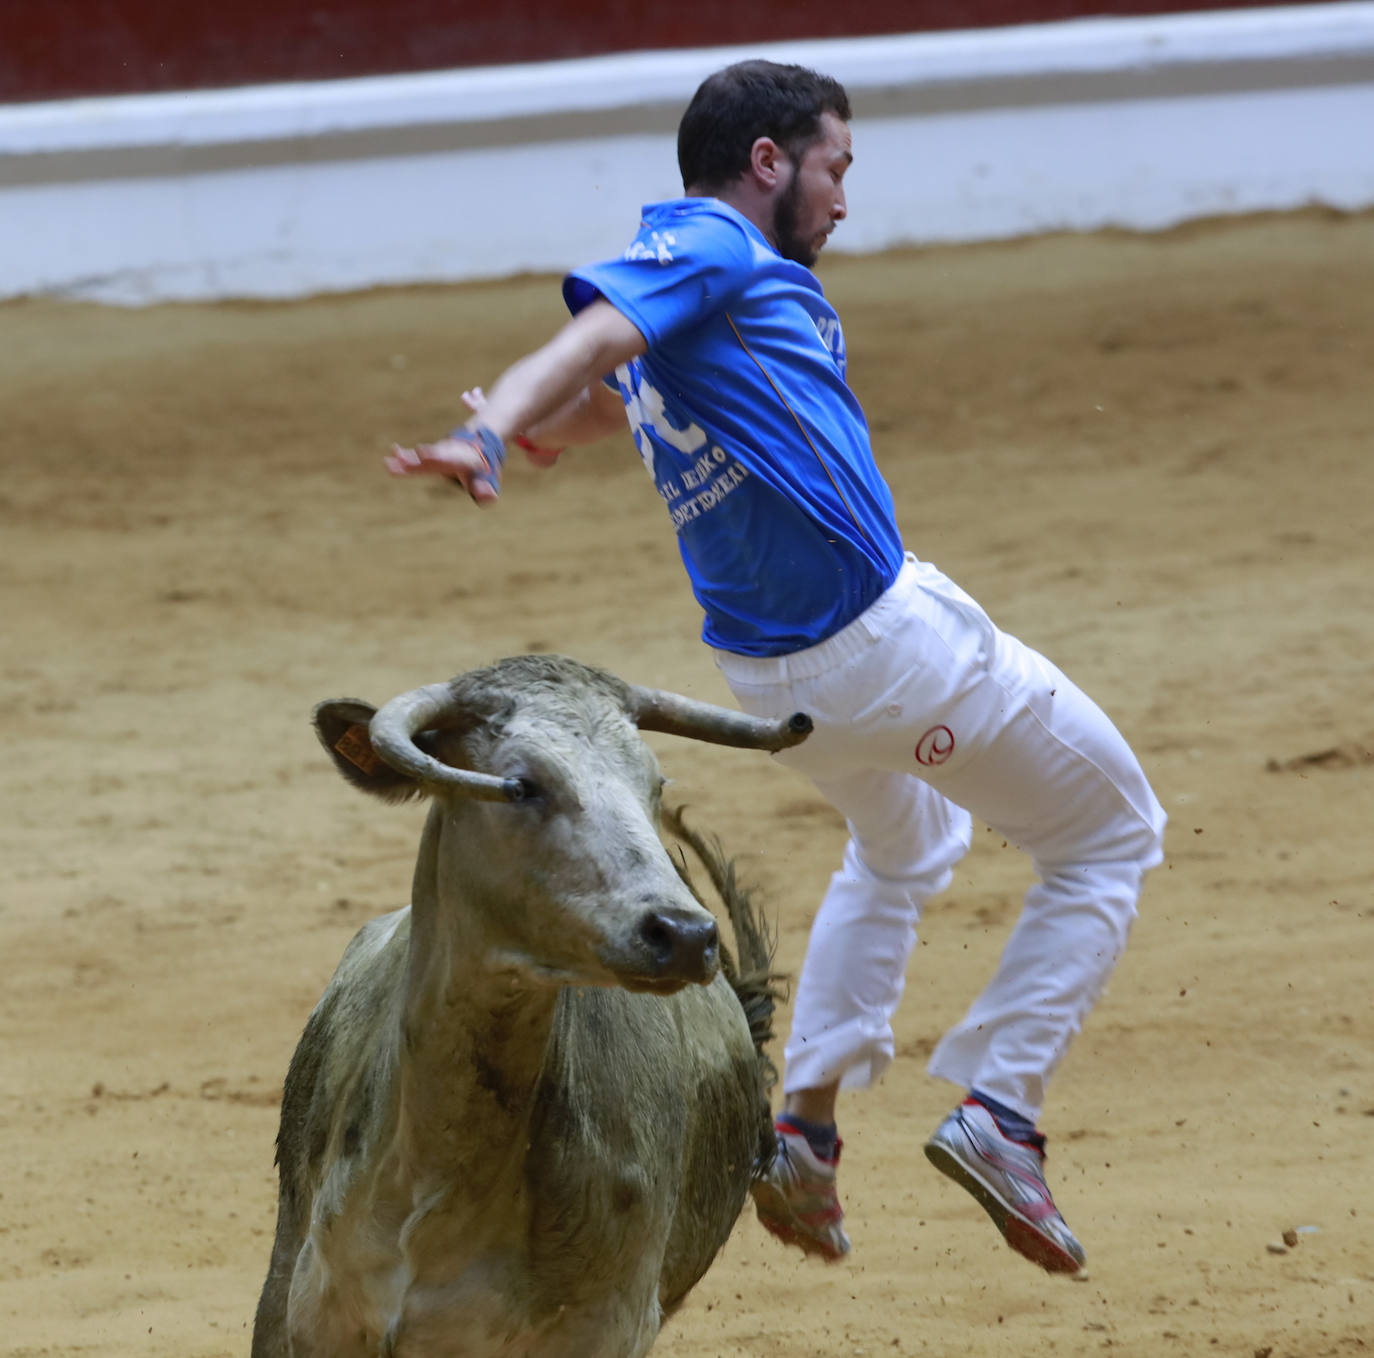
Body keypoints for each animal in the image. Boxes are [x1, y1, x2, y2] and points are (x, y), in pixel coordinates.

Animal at [250, 651, 802, 1352]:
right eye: (522, 786)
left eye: (652, 786)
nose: (683, 934)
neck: (437, 1180)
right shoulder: (307, 1318)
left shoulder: (608, 1328)